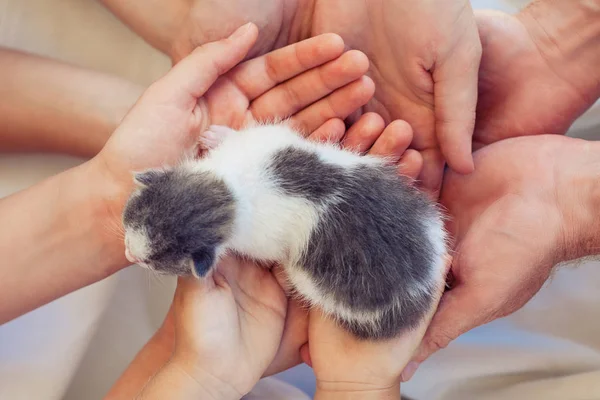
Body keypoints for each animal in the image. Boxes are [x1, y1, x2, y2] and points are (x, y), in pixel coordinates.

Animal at [122, 122, 448, 340]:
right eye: (130, 216)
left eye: (154, 263)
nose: (129, 254)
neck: (231, 193)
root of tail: (420, 286)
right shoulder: (269, 139)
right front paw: (217, 135)